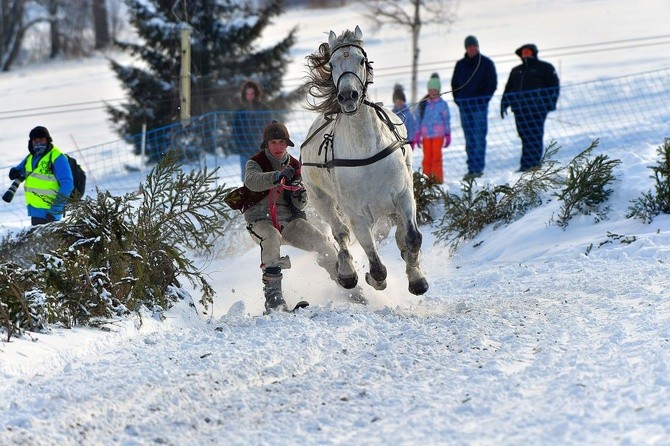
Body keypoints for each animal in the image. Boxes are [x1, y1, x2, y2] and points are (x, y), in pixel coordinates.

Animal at [300, 25, 428, 296]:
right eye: (333, 63)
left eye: (361, 60)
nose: (348, 95)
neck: (365, 149)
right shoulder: (357, 215)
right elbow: (373, 260)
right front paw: (373, 278)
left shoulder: (403, 195)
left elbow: (412, 237)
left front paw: (416, 278)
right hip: (321, 199)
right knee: (340, 234)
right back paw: (347, 272)